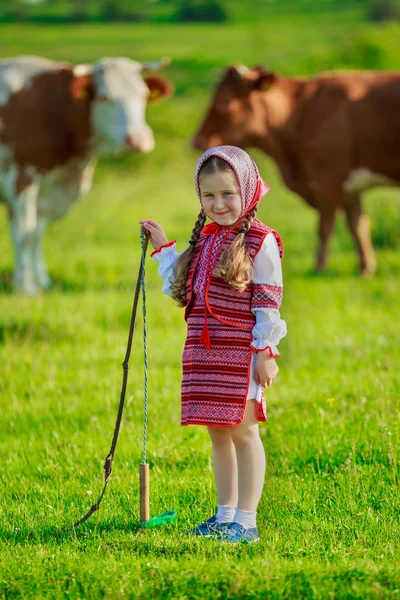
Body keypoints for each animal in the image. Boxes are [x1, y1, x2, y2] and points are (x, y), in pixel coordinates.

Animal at [0, 55, 172, 294]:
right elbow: (25, 233)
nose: (139, 140)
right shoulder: (22, 178)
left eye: (143, 95)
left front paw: (41, 280)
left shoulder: (46, 187)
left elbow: (36, 233)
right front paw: (27, 288)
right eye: (105, 97)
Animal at [194, 64, 400, 276]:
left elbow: (325, 228)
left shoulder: (328, 180)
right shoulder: (350, 187)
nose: (197, 140)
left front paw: (319, 267)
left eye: (225, 100)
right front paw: (366, 268)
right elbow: (358, 226)